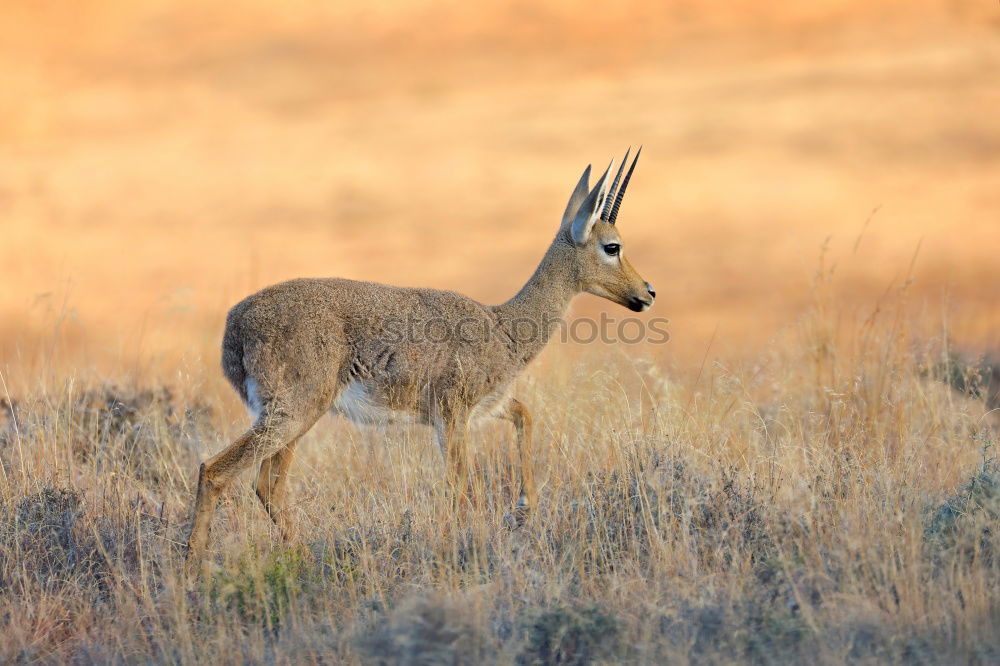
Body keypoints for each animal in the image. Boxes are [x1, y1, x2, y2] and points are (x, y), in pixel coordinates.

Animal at [186, 149, 656, 564]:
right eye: (612, 246)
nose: (648, 292)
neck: (502, 326)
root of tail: (235, 322)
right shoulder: (452, 416)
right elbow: (459, 483)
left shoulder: (484, 408)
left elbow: (524, 414)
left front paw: (525, 506)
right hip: (292, 414)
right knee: (216, 471)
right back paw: (194, 573)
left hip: (292, 421)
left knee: (267, 486)